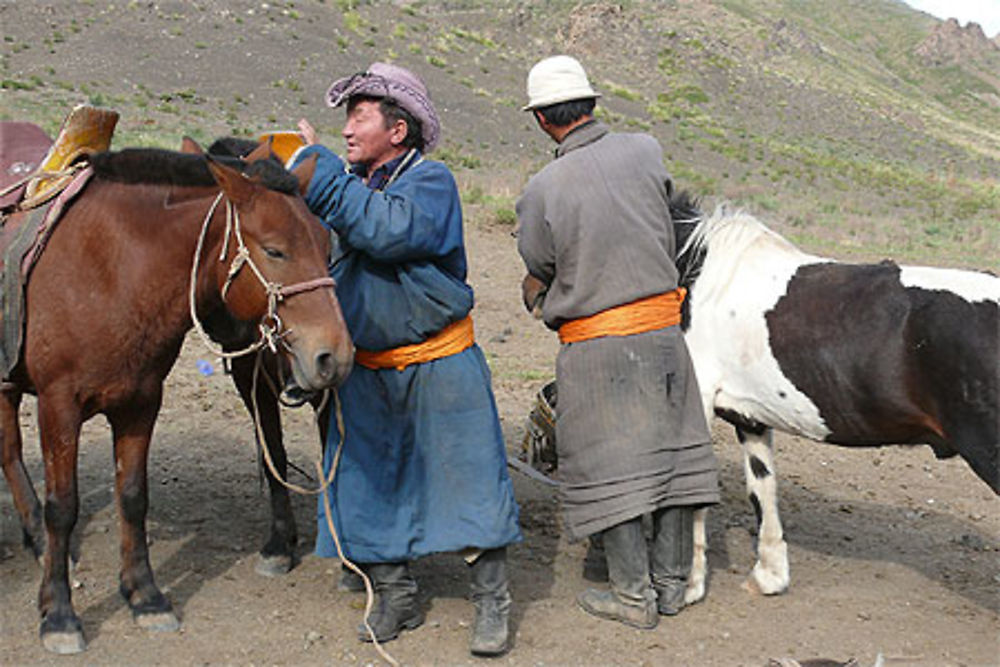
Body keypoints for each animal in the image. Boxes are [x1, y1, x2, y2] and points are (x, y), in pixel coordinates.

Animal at [0, 142, 358, 652]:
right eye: (275, 250)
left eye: (327, 246)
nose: (335, 355)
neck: (110, 270)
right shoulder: (58, 405)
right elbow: (62, 507)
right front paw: (60, 615)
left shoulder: (141, 402)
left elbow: (133, 497)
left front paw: (145, 597)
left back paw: (35, 539)